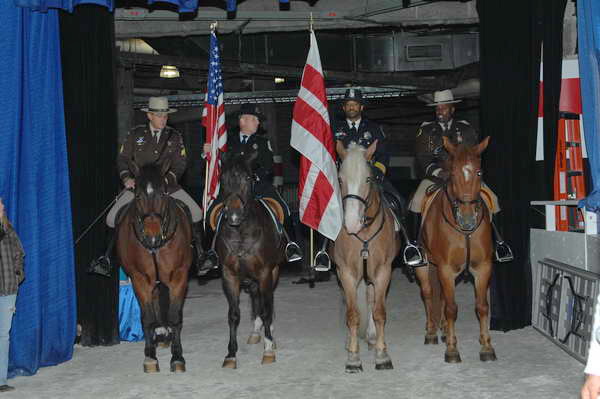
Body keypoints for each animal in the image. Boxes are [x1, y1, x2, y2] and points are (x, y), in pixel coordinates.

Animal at [115, 161, 192, 374]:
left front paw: (177, 357)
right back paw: (160, 333)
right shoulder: (140, 279)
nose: (152, 237)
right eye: (137, 195)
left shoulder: (178, 277)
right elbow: (147, 318)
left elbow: (175, 317)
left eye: (163, 194)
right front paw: (150, 357)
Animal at [211, 152, 284, 368]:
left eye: (248, 178)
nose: (234, 215)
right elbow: (234, 314)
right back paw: (255, 332)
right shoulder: (229, 275)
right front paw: (230, 355)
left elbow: (267, 309)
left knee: (267, 300)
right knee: (256, 297)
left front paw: (268, 349)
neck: (241, 233)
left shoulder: (265, 272)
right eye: (223, 179)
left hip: (273, 273)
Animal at [330, 142, 400, 374]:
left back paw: (371, 337)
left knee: (370, 299)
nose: (351, 223)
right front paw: (353, 359)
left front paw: (382, 355)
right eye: (340, 179)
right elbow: (352, 314)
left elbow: (379, 312)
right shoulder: (347, 273)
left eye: (368, 179)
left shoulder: (382, 272)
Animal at [414, 136, 500, 364]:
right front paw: (452, 350)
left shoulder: (483, 267)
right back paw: (431, 333)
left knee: (443, 298)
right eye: (452, 174)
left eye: (479, 173)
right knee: (428, 294)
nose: (467, 219)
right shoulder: (445, 268)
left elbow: (482, 307)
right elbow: (452, 308)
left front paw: (486, 347)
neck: (465, 231)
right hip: (424, 267)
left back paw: (444, 330)